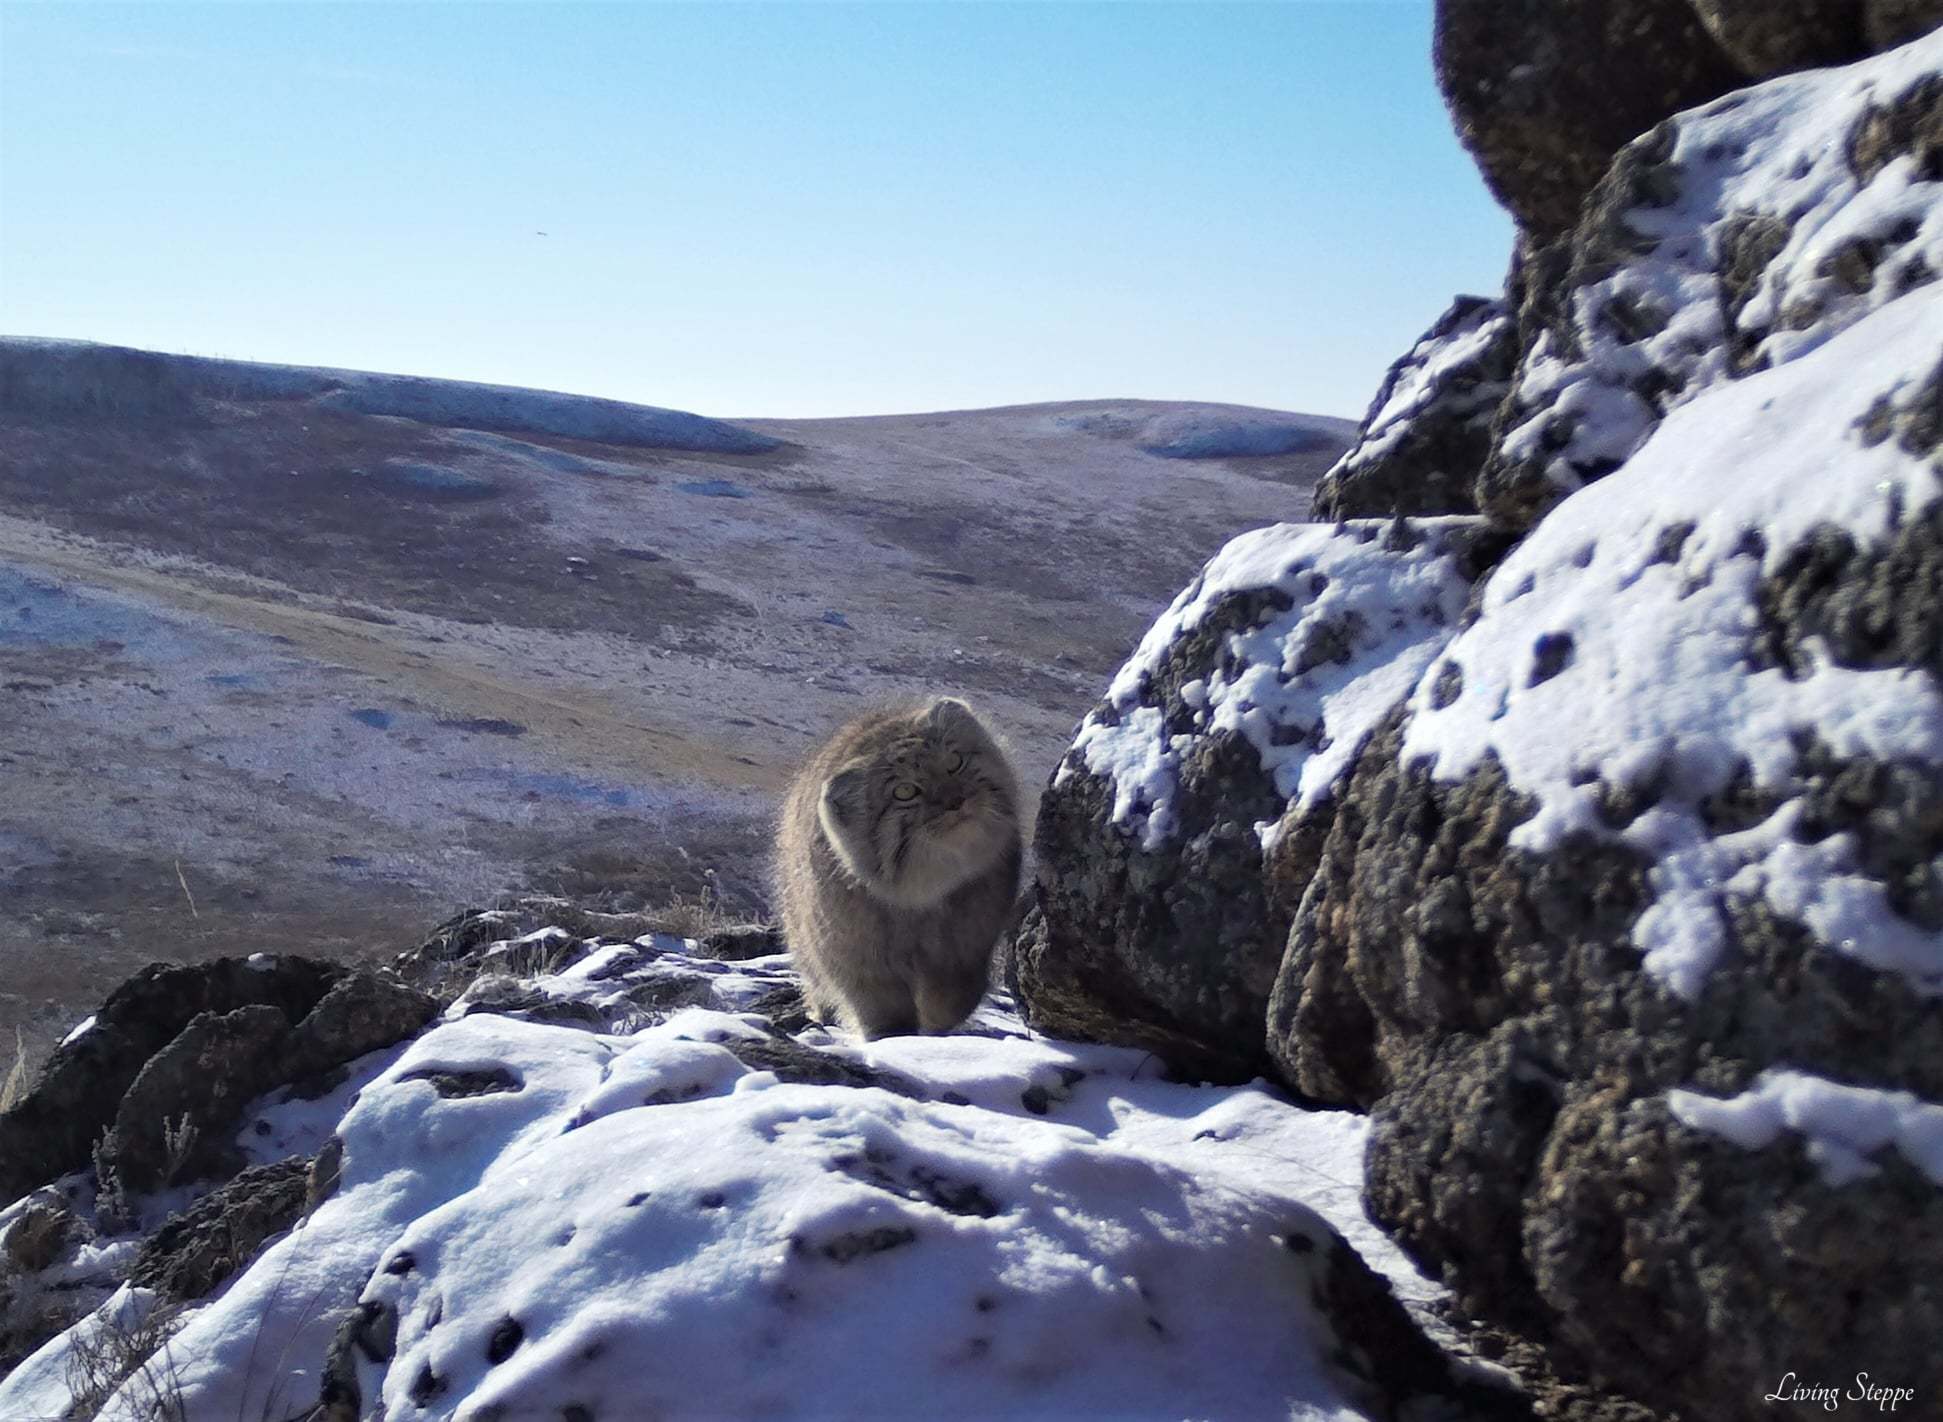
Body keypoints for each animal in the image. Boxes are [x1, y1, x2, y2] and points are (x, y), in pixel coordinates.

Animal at [773, 695, 1025, 1041]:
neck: (923, 898)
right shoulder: (855, 956)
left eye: (954, 762)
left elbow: (954, 996)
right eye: (904, 791)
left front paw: (935, 1023)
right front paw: (893, 1038)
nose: (956, 801)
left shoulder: (969, 945)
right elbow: (881, 1007)